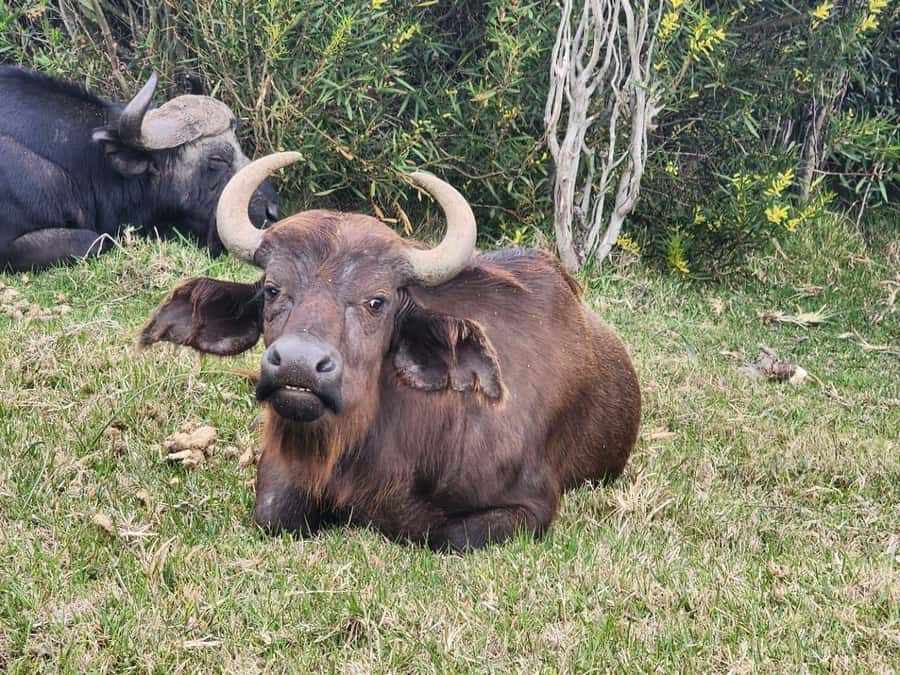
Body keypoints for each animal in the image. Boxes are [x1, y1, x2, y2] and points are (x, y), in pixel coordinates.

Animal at [140, 153, 641, 551]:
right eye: (271, 290)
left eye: (376, 301)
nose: (299, 365)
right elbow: (274, 514)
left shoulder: (530, 505)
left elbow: (443, 533)